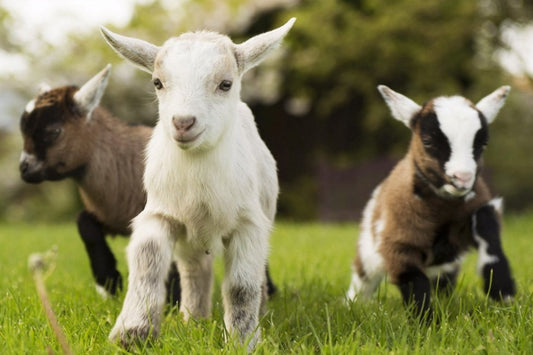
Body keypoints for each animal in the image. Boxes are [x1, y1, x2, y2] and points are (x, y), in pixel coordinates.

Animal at [97, 17, 294, 350]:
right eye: (157, 83)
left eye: (225, 84)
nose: (183, 123)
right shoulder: (160, 213)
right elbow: (148, 262)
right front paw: (133, 334)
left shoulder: (249, 224)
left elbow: (241, 287)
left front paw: (243, 342)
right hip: (190, 239)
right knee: (194, 269)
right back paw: (194, 319)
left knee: (253, 277)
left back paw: (259, 314)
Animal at [344, 85, 516, 318]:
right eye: (427, 141)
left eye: (482, 144)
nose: (462, 178)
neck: (444, 208)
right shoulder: (399, 242)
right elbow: (413, 280)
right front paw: (425, 322)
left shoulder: (474, 213)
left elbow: (487, 227)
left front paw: (504, 293)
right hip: (368, 251)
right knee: (363, 280)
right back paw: (351, 305)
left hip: (444, 266)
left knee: (442, 281)